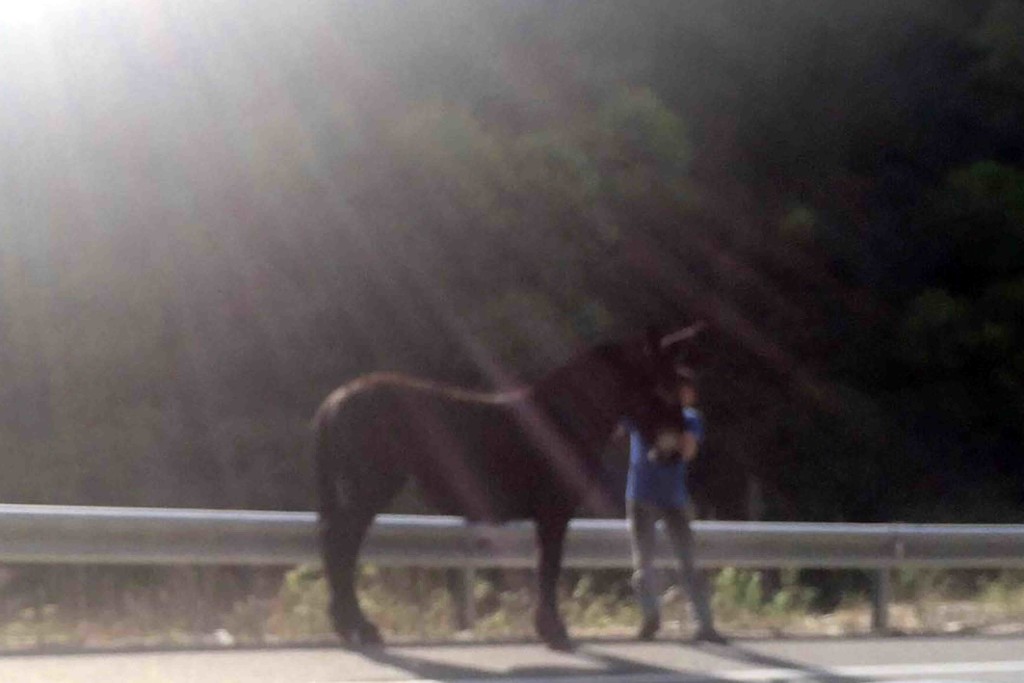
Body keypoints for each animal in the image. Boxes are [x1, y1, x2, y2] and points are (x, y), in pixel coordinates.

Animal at [313, 323, 704, 651]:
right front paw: (555, 632)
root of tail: (337, 399)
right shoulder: (555, 513)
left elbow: (545, 569)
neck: (565, 417)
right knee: (341, 549)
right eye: (664, 386)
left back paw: (350, 627)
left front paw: (548, 629)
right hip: (367, 491)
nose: (674, 452)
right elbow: (549, 569)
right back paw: (359, 628)